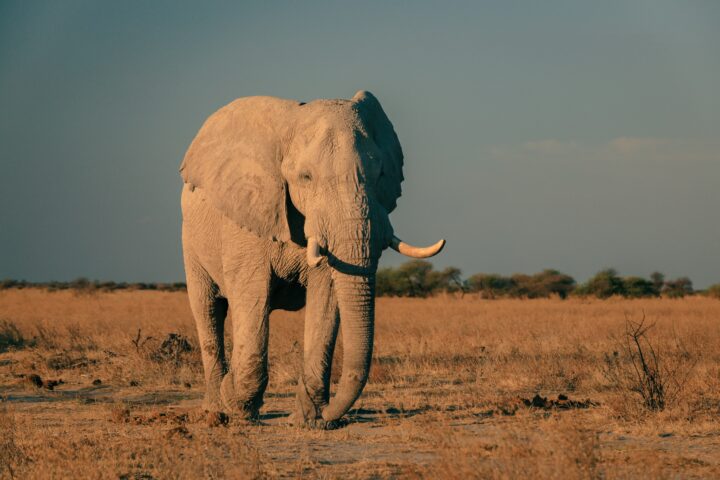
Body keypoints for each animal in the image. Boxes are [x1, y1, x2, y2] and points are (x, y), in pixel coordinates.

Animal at [180, 90, 444, 428]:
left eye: (380, 174)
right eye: (306, 177)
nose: (332, 415)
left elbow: (327, 297)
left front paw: (309, 420)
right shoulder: (247, 218)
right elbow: (252, 297)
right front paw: (238, 406)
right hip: (190, 241)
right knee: (208, 308)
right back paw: (217, 409)